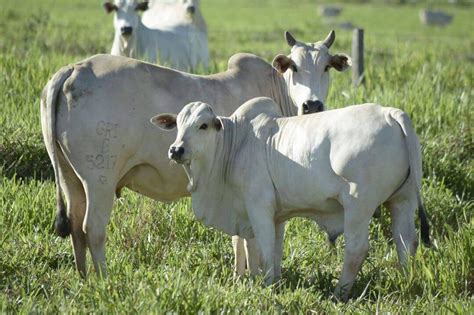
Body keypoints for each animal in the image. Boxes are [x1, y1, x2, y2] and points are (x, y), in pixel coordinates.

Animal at [41, 30, 352, 278]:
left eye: (326, 67)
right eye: (294, 67)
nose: (312, 105)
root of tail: (74, 68)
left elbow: (238, 238)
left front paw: (239, 276)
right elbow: (253, 240)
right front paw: (253, 277)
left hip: (70, 177)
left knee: (76, 228)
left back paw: (84, 277)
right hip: (100, 180)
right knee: (92, 228)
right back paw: (104, 279)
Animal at [154, 97, 432, 302]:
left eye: (203, 125)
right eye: (178, 124)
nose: (176, 150)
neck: (235, 144)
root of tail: (390, 113)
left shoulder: (259, 207)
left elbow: (264, 249)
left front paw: (266, 286)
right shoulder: (277, 216)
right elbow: (274, 251)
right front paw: (275, 282)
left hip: (358, 205)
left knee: (357, 248)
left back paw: (339, 294)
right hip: (403, 200)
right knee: (406, 242)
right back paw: (406, 282)